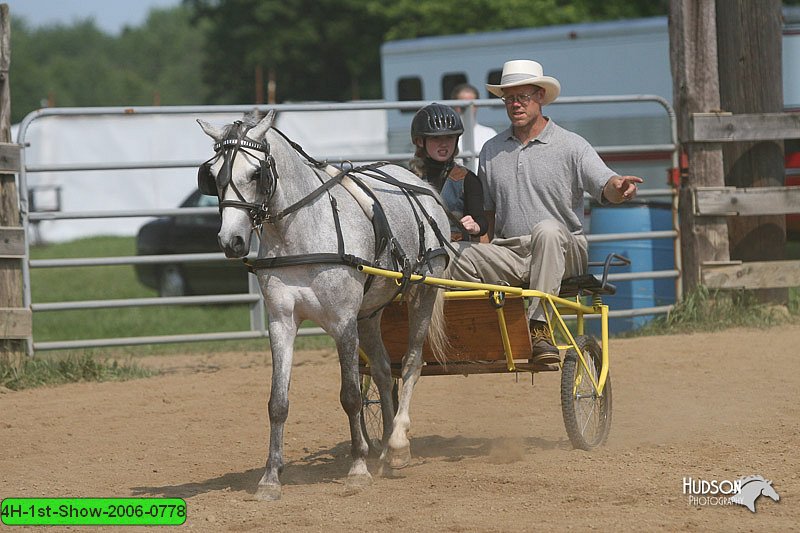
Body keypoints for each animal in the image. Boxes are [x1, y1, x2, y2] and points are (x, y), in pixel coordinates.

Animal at [198, 109, 454, 498]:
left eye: (256, 173)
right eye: (212, 175)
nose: (231, 241)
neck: (300, 232)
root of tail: (419, 183)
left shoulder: (343, 321)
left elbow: (350, 395)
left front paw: (358, 468)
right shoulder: (282, 321)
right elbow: (278, 401)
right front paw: (270, 477)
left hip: (423, 293)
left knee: (411, 363)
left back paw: (397, 445)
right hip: (370, 313)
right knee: (383, 370)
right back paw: (385, 443)